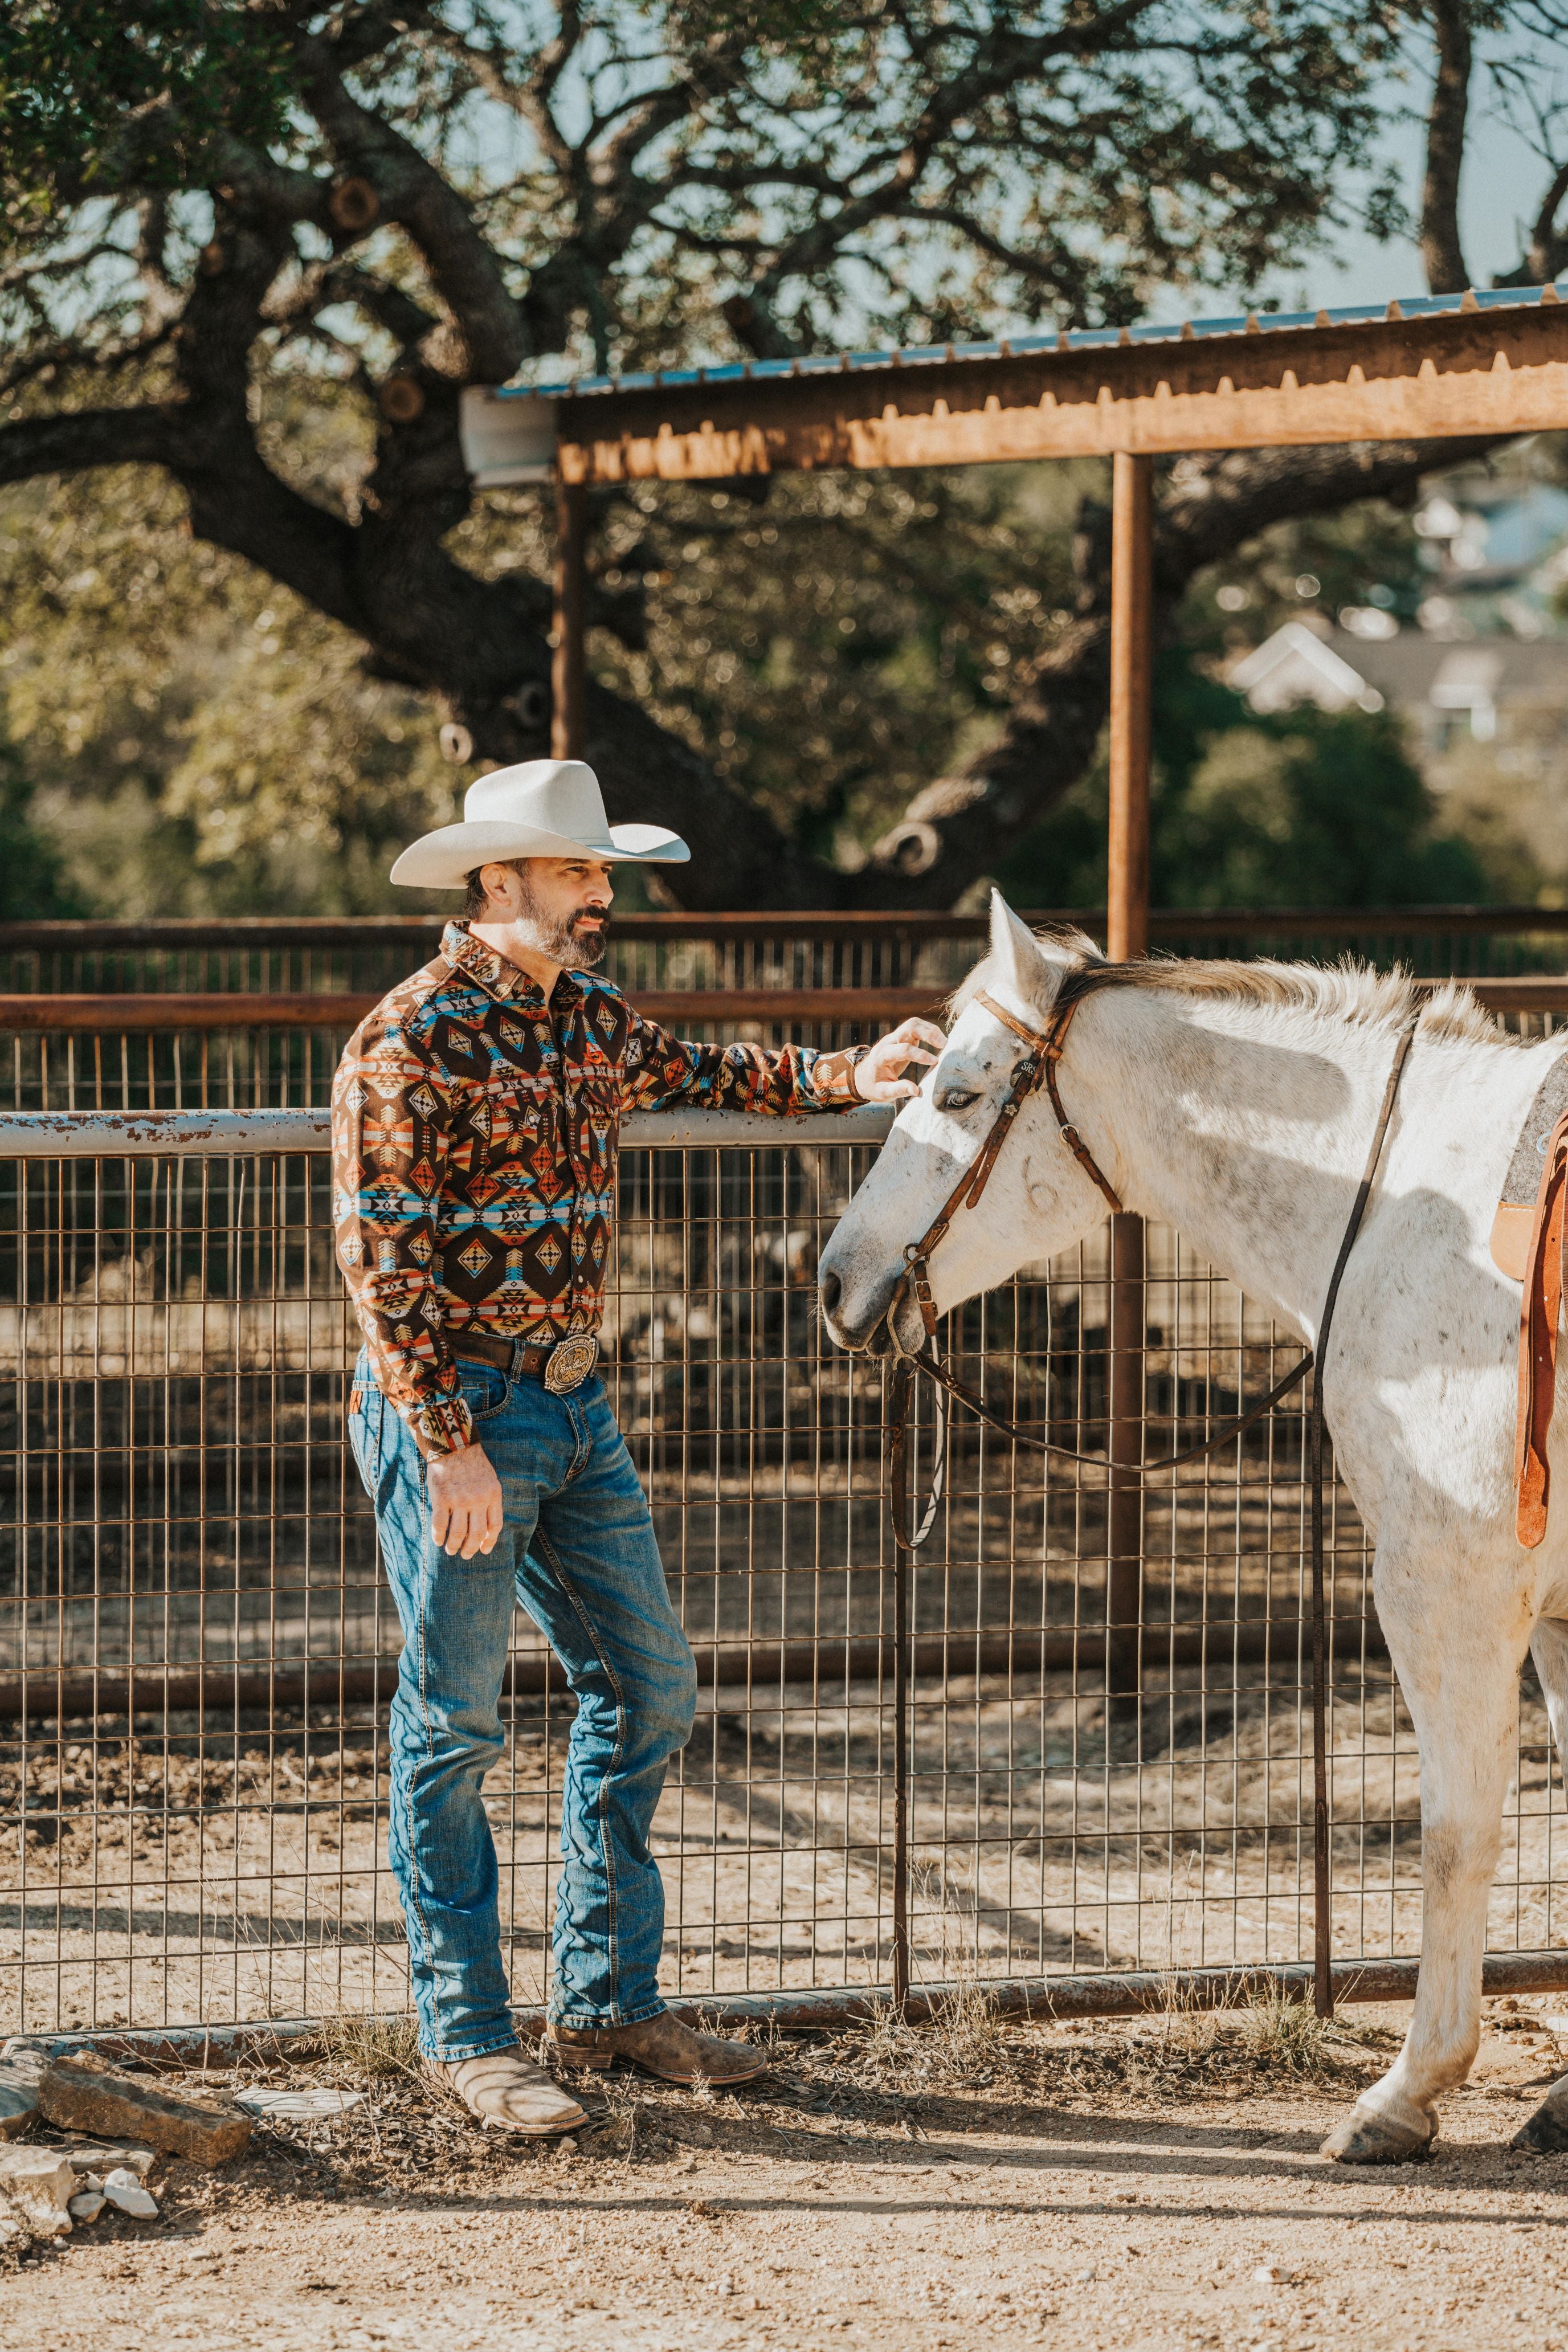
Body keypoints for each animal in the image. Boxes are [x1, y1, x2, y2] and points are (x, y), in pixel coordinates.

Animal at [818, 889, 1568, 2154]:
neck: (1439, 1216)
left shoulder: (1444, 1583)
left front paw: (1405, 2092)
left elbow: (1454, 1832)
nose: (835, 1278)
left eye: (959, 1094)